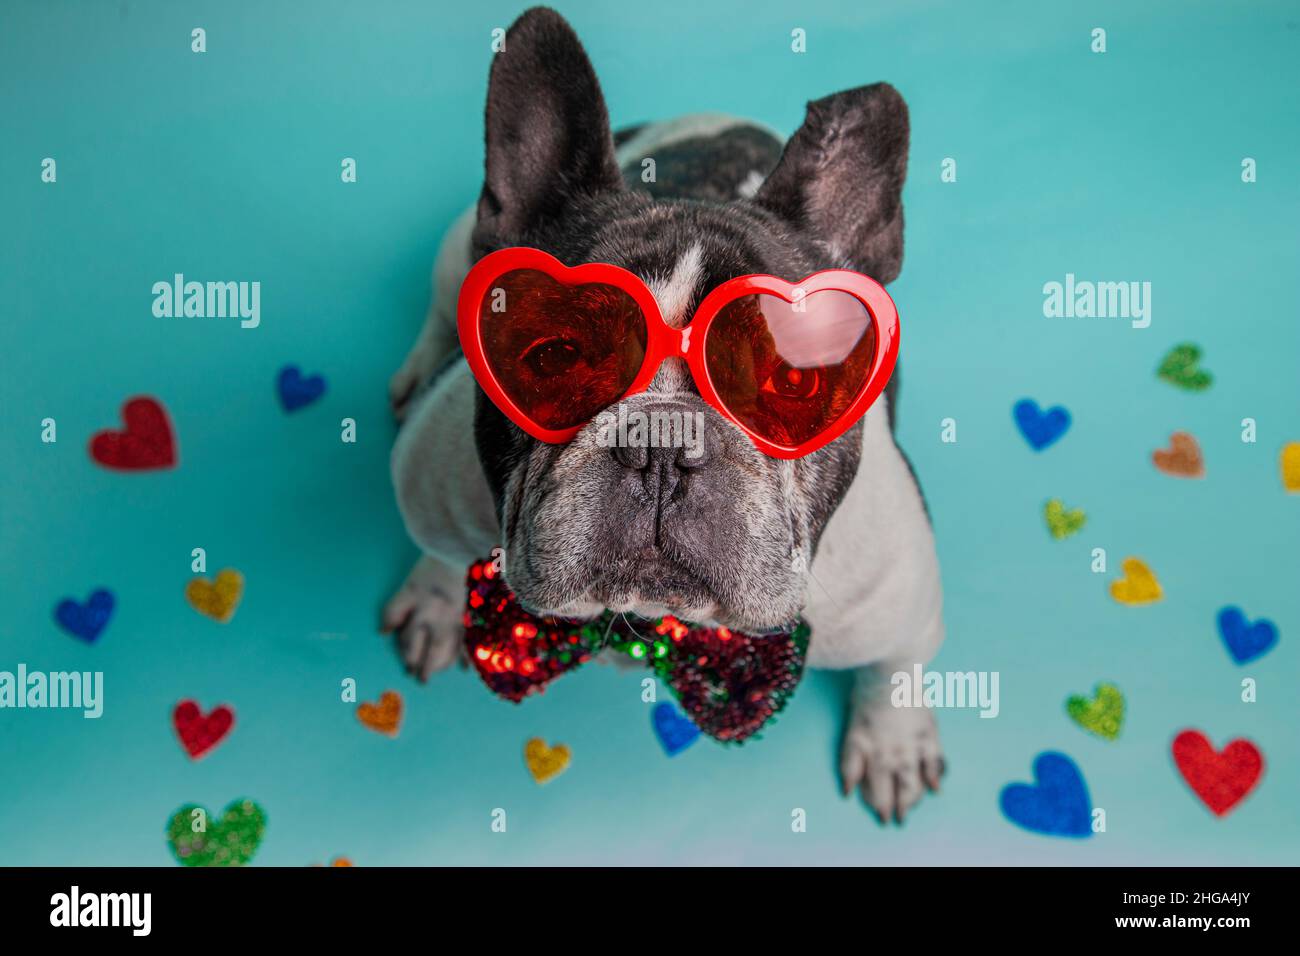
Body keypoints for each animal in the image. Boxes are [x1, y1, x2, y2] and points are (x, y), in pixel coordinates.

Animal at [382, 5, 946, 822]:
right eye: (555, 357)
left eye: (794, 381)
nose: (662, 443)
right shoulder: (431, 483)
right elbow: (435, 546)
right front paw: (432, 599)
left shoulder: (902, 599)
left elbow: (895, 669)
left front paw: (892, 743)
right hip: (458, 244)